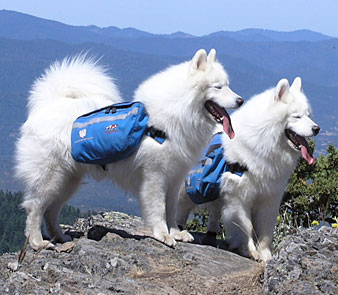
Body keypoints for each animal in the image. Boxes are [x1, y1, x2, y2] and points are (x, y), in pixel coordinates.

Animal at [15, 49, 243, 251]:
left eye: (228, 85)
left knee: (51, 211)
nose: (240, 100)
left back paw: (60, 237)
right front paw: (163, 235)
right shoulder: (154, 177)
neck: (175, 115)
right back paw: (37, 242)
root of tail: (47, 104)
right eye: (218, 87)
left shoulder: (175, 178)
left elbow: (171, 210)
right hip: (50, 177)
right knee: (35, 208)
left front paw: (176, 232)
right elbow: (158, 209)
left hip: (68, 180)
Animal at [177, 77, 320, 262]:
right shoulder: (239, 198)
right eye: (297, 116)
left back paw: (209, 237)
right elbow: (246, 227)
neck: (264, 143)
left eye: (308, 115)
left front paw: (266, 256)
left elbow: (266, 232)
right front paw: (250, 251)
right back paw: (179, 232)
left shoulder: (269, 198)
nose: (317, 129)